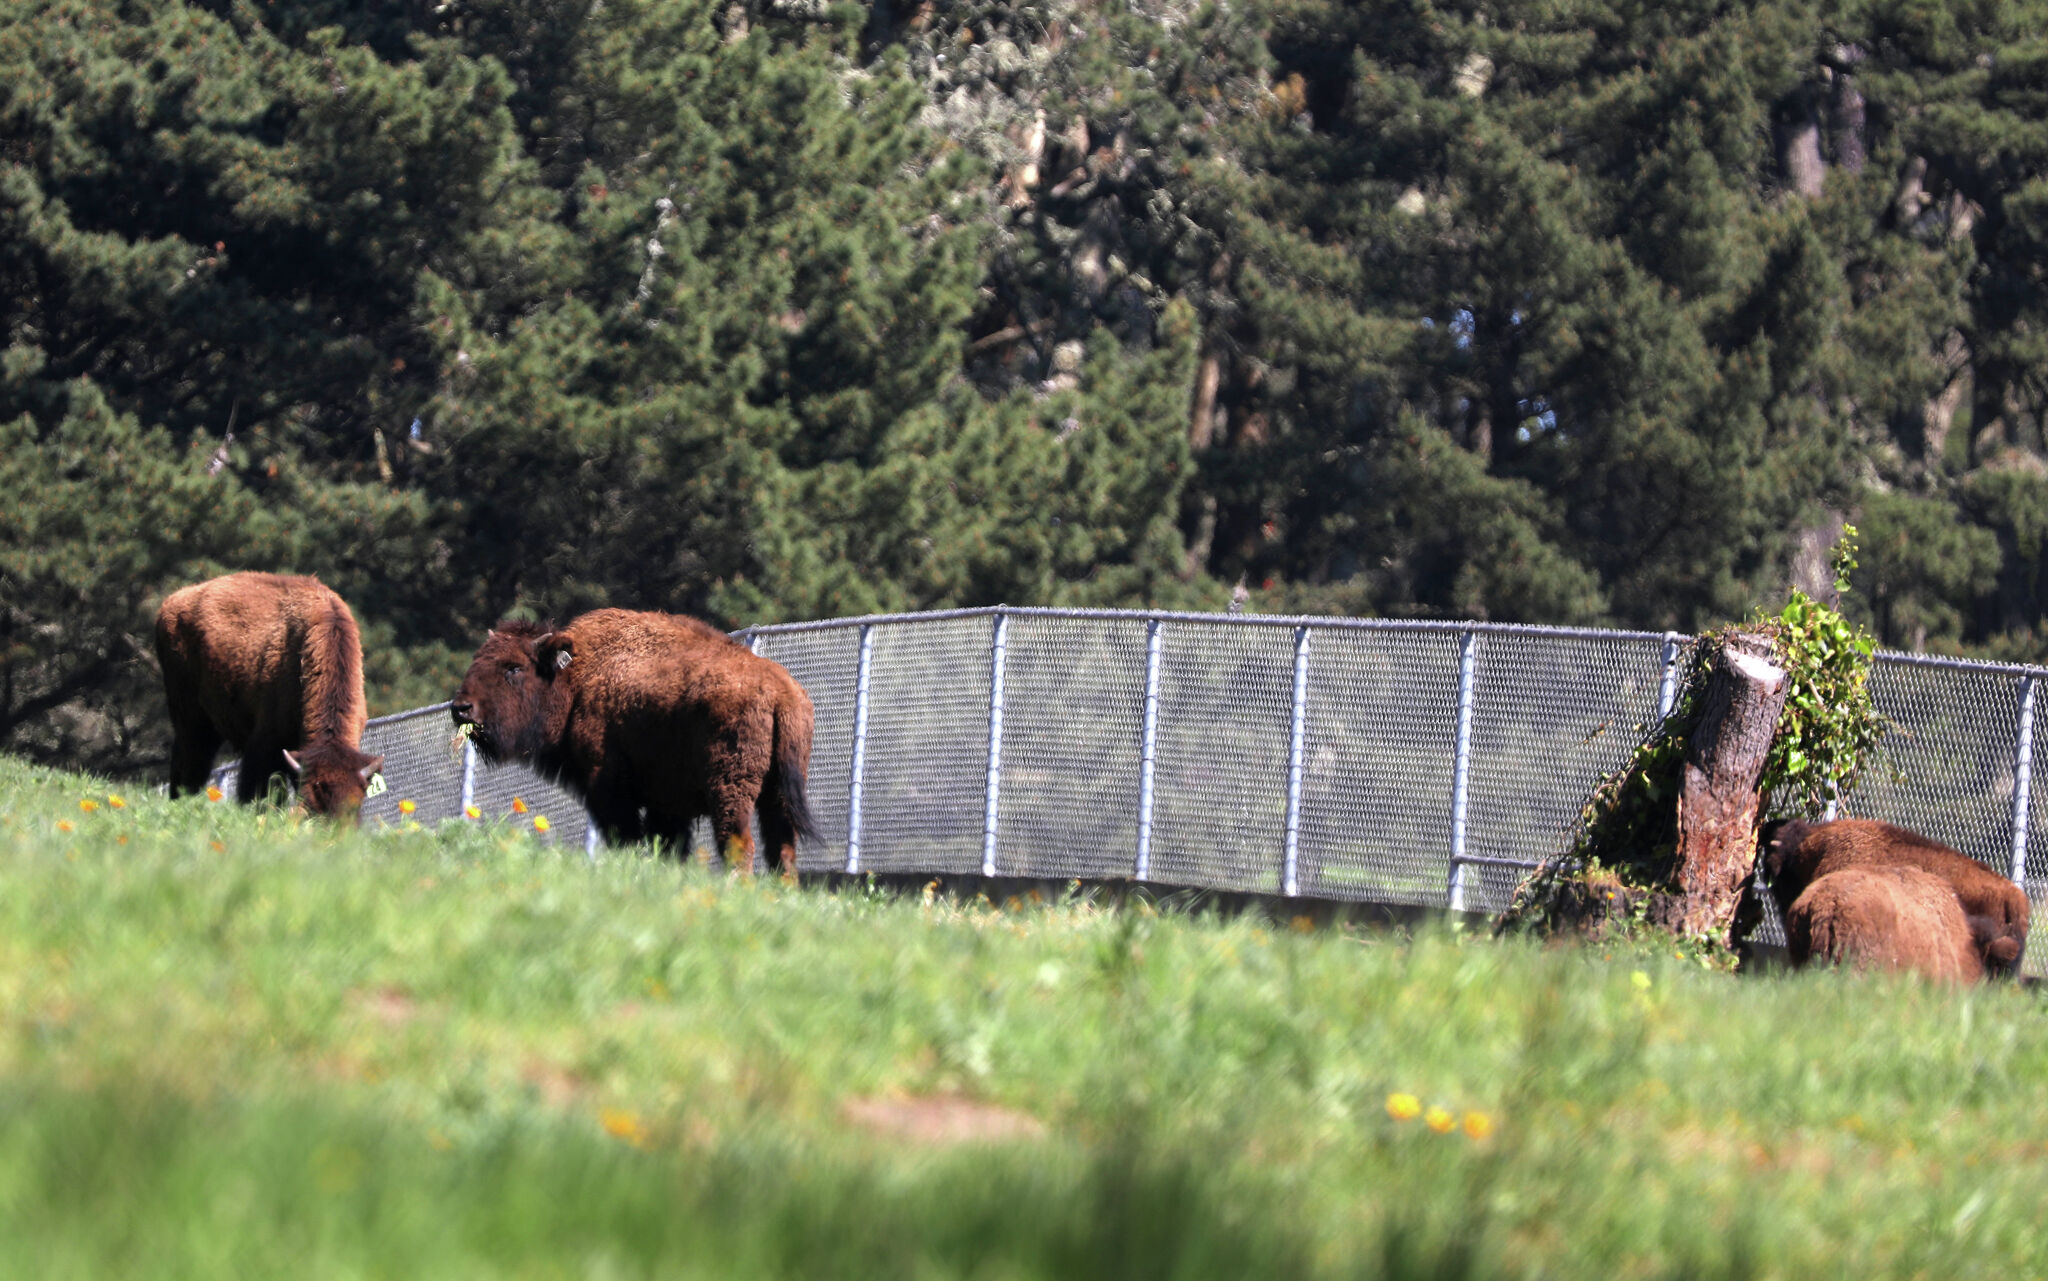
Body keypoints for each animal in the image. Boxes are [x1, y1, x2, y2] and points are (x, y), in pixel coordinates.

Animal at [153, 573, 385, 819]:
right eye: (311, 806)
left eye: (355, 806)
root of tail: (171, 602)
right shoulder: (263, 747)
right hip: (190, 720)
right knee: (189, 765)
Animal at [454, 606, 815, 869]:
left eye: (513, 668)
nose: (461, 708)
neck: (577, 677)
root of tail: (781, 692)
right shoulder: (665, 803)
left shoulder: (609, 790)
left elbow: (626, 837)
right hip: (778, 791)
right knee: (782, 848)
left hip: (731, 788)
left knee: (739, 844)